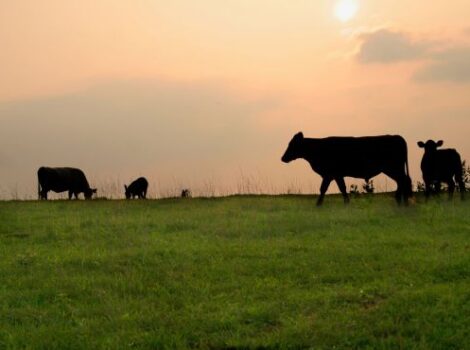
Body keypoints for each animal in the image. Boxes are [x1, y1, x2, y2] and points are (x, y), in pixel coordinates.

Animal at [282, 133, 412, 206]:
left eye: (292, 145)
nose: (283, 158)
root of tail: (396, 136)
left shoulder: (330, 174)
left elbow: (324, 188)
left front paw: (318, 204)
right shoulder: (337, 175)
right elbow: (342, 188)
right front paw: (347, 202)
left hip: (393, 168)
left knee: (403, 180)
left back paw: (399, 200)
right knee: (403, 181)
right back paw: (402, 201)